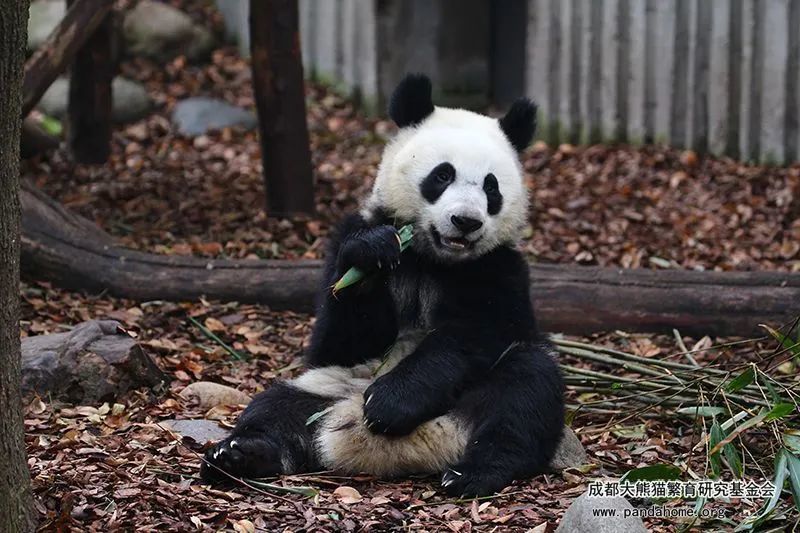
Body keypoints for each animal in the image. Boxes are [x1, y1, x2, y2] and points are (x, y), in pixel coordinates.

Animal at [203, 74, 564, 494]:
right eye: (443, 175)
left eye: (492, 188)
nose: (466, 221)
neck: (432, 259)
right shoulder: (347, 241)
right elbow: (339, 338)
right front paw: (371, 253)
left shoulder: (499, 268)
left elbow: (474, 334)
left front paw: (390, 404)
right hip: (326, 386)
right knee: (275, 407)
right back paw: (236, 456)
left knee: (524, 392)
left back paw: (473, 473)